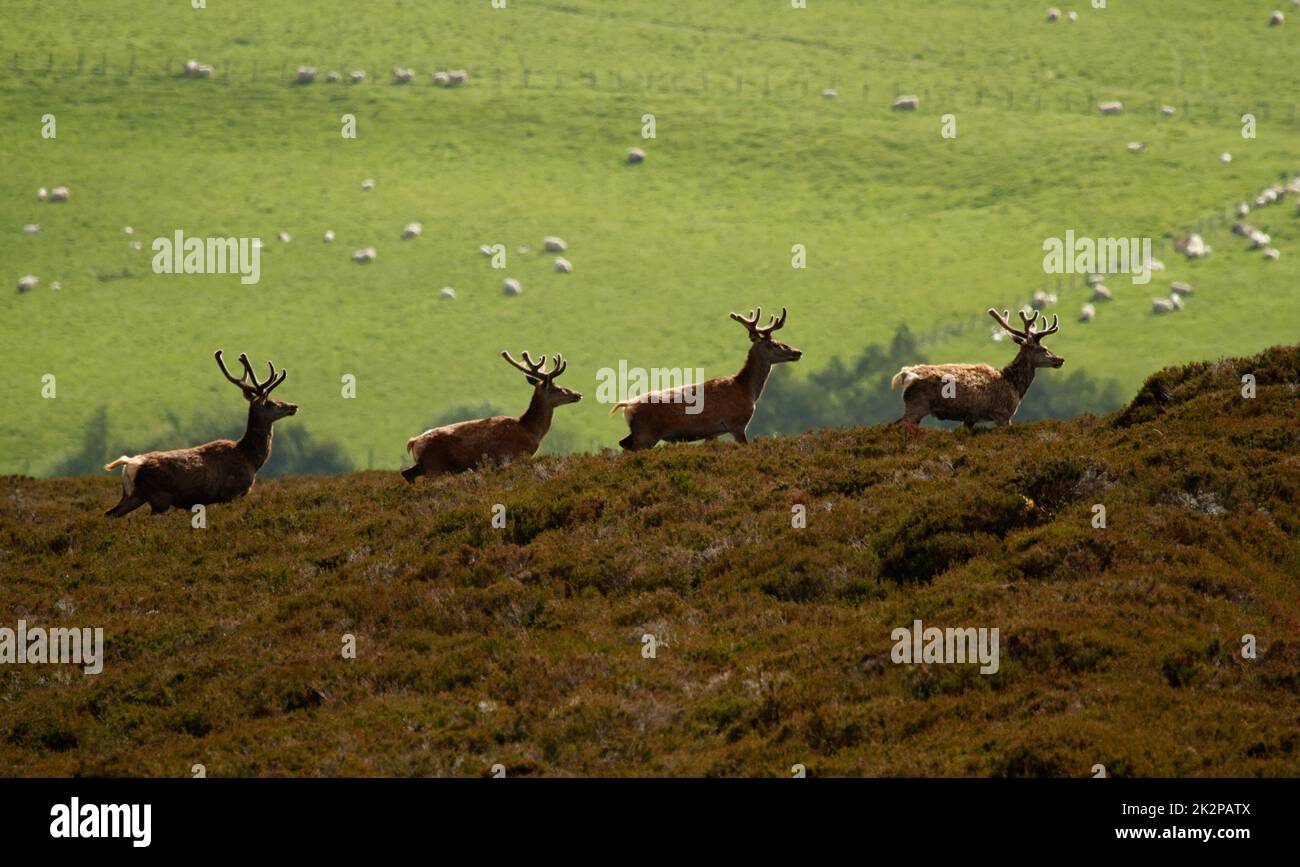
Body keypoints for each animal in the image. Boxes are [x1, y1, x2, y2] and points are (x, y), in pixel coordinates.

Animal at [104, 350, 299, 519]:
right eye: (272, 403)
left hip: (133, 495)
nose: (293, 406)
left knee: (110, 513)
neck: (250, 458)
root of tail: (130, 464)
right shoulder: (232, 492)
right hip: (159, 498)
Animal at [395, 348, 579, 480]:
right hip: (435, 467)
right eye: (557, 388)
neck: (530, 430)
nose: (577, 394)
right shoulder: (510, 457)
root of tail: (413, 442)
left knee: (406, 473)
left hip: (424, 466)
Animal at [608, 305, 800, 452]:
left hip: (639, 434)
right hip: (646, 434)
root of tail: (627, 406)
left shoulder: (713, 432)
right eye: (774, 344)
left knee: (622, 444)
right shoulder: (737, 423)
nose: (797, 352)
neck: (747, 391)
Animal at [894, 308, 1066, 426]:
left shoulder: (970, 417)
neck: (1014, 386)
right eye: (1043, 348)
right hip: (918, 405)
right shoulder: (1002, 414)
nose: (1060, 359)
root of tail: (905, 374)